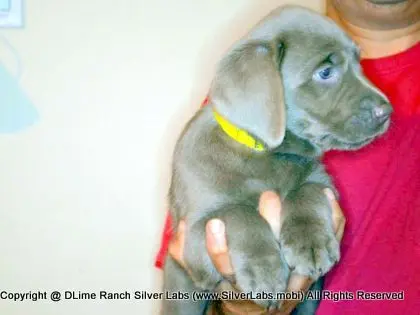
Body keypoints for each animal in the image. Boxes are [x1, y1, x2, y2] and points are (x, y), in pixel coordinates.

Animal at [162, 4, 392, 315]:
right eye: (325, 72)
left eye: (359, 63)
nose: (387, 111)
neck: (265, 154)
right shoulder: (195, 234)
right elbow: (238, 212)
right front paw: (264, 270)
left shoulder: (324, 185)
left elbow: (306, 190)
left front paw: (310, 242)